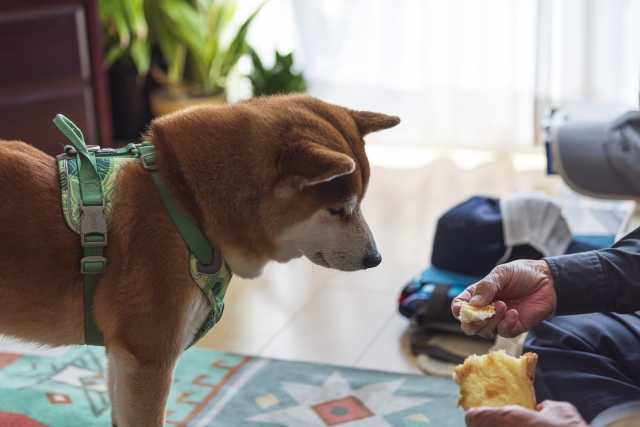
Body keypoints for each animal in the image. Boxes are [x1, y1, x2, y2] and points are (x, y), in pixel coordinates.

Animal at [0, 94, 400, 427]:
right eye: (337, 209)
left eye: (360, 203)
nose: (376, 258)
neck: (185, 204)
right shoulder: (148, 360)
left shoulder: (119, 354)